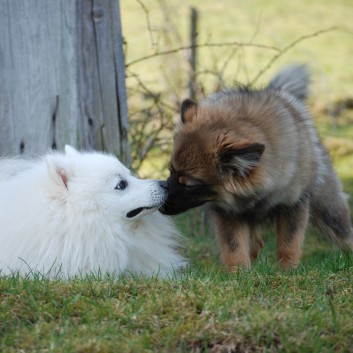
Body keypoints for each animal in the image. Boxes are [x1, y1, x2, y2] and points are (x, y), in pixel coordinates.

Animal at [162, 64, 352, 270]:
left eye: (189, 184)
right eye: (171, 171)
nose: (161, 203)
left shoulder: (293, 204)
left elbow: (289, 242)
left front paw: (287, 270)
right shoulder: (228, 212)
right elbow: (234, 246)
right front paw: (238, 271)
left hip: (329, 209)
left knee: (343, 232)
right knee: (255, 243)